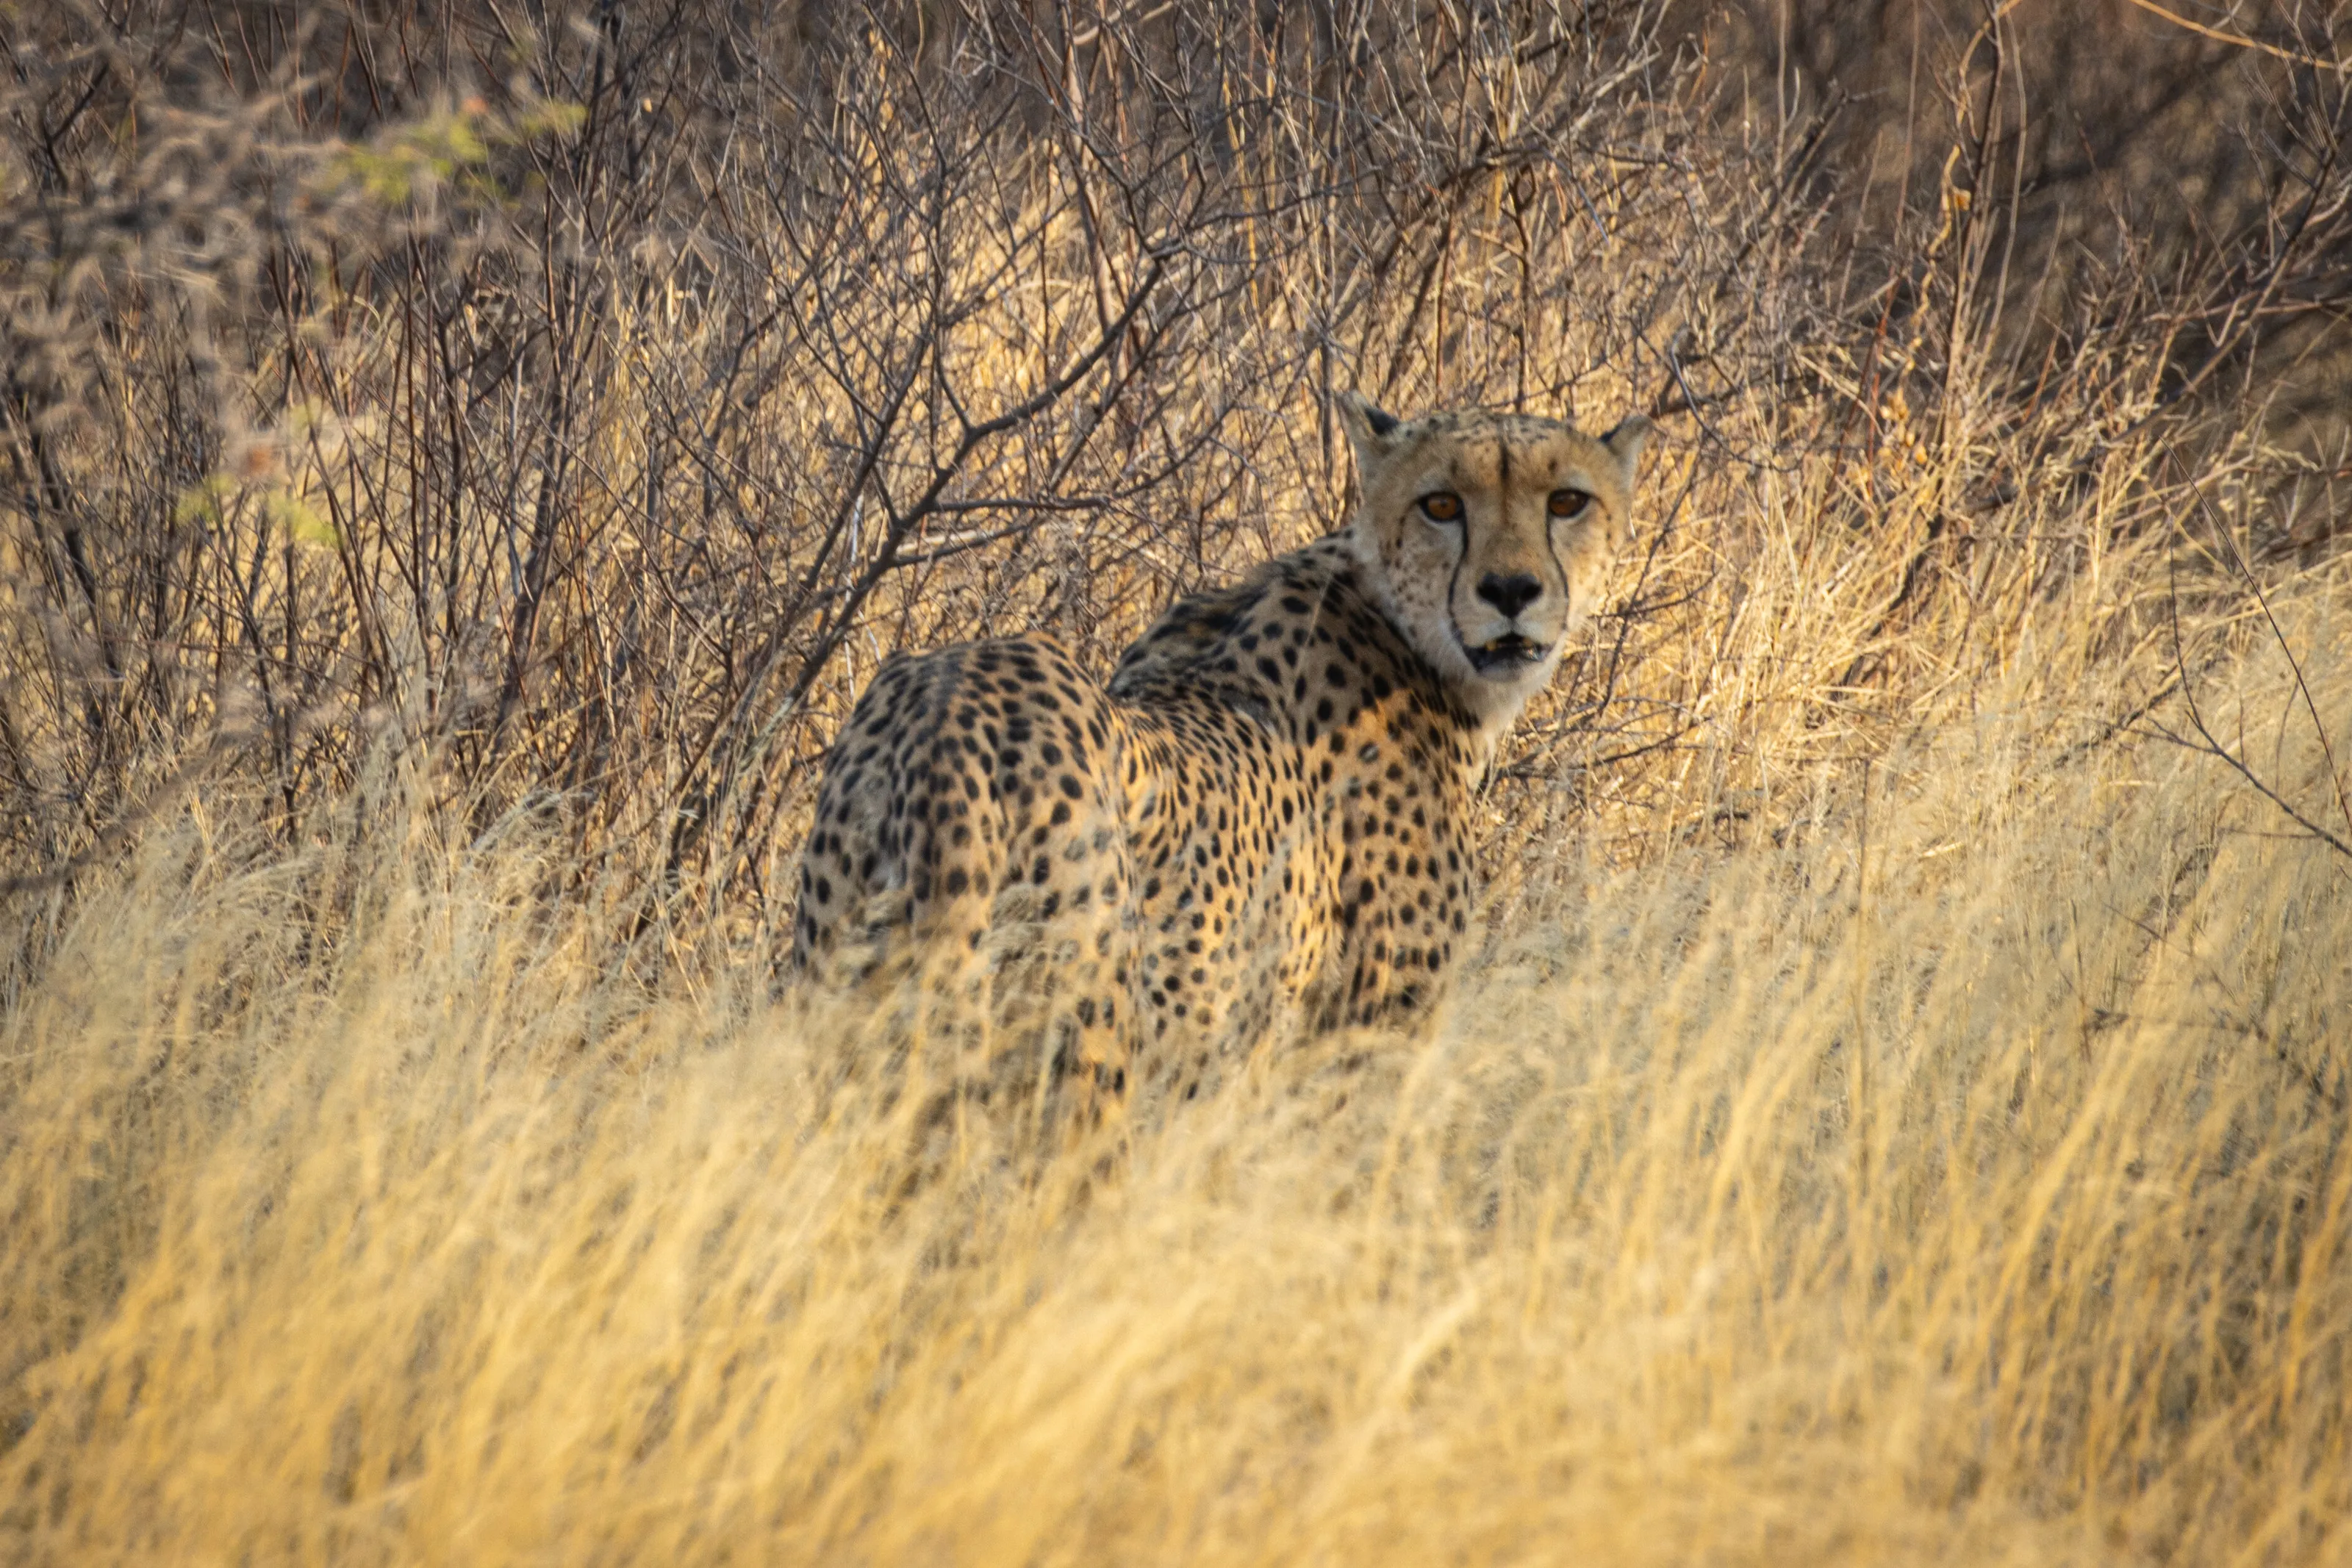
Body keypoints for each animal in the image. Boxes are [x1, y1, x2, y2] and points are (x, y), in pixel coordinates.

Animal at [790, 391, 1652, 1133]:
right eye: (1440, 504)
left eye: (1566, 501)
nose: (1510, 589)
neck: (1402, 625)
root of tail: (950, 687)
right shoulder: (1362, 1041)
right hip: (1087, 1046)